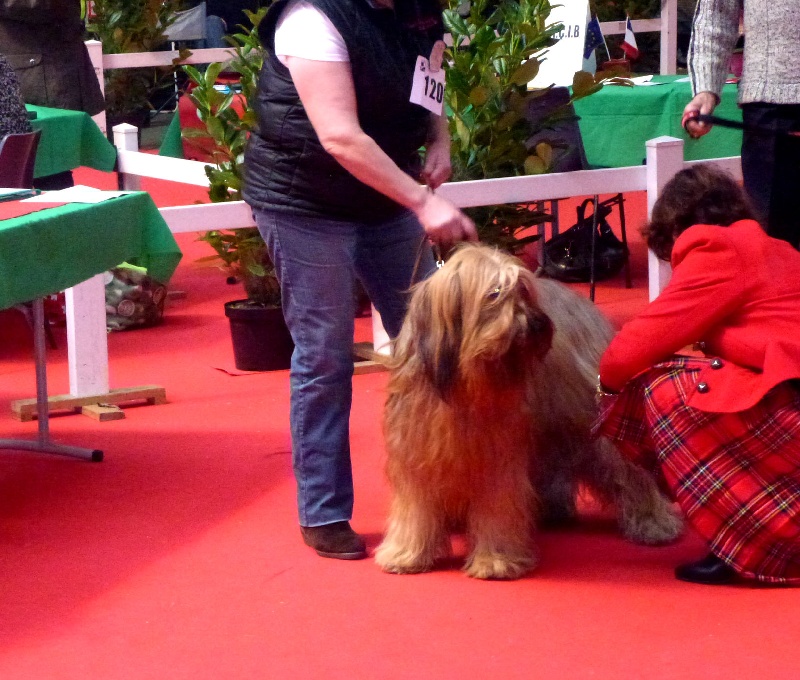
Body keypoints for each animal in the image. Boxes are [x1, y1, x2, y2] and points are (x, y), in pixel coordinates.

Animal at [374, 244, 682, 580]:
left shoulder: (497, 458)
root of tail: (582, 303)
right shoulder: (416, 453)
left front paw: (496, 560)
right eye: (494, 294)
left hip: (590, 419)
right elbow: (415, 508)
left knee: (628, 470)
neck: (462, 386)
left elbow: (497, 506)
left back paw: (654, 523)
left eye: (523, 289)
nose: (536, 323)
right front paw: (407, 554)